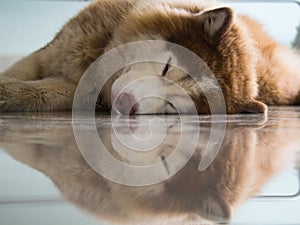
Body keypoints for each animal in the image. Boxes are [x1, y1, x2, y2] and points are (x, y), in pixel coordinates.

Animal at [0, 0, 300, 113]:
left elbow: (40, 92)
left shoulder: (76, 89)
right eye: (166, 67)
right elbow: (20, 69)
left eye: (174, 106)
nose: (127, 105)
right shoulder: (51, 51)